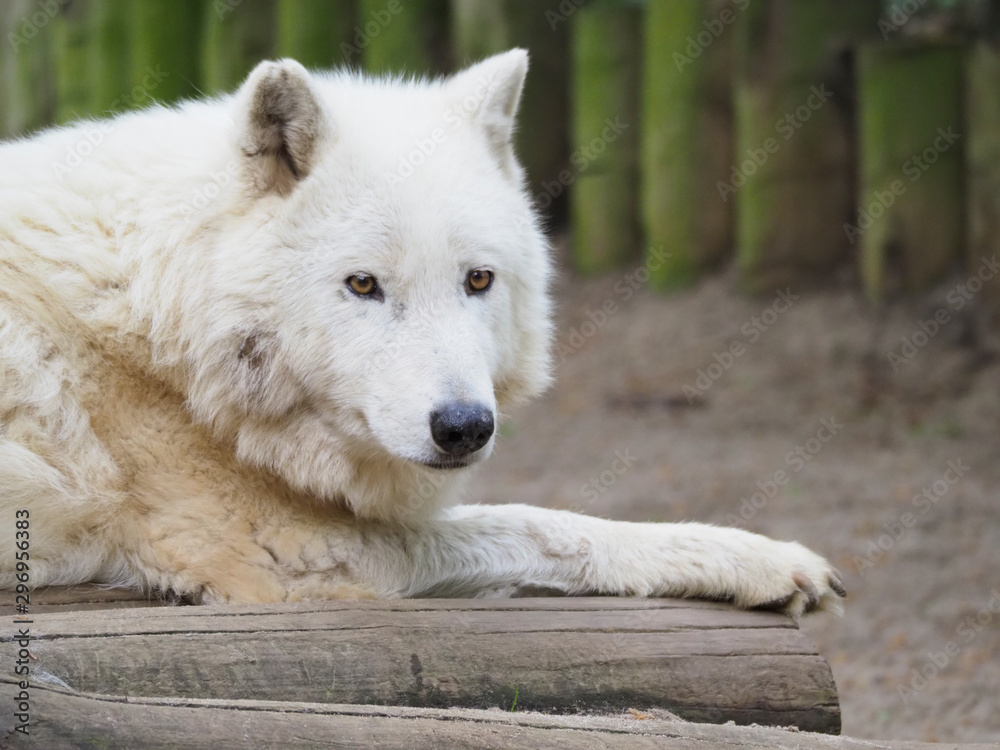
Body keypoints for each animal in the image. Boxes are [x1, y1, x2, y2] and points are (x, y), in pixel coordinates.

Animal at [0, 51, 844, 616]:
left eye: (478, 280)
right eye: (363, 285)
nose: (465, 427)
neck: (154, 323)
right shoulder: (290, 554)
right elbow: (543, 524)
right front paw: (757, 558)